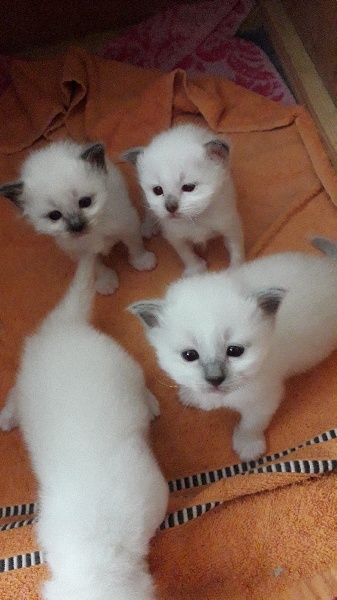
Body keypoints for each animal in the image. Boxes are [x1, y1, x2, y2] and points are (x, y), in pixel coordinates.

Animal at [0, 138, 155, 292]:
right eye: (54, 215)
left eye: (85, 202)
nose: (77, 226)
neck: (94, 231)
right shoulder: (79, 252)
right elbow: (96, 268)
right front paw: (106, 282)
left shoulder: (127, 224)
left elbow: (135, 246)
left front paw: (142, 261)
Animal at [0, 254, 168, 600]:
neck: (96, 548)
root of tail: (64, 327)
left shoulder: (156, 495)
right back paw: (7, 417)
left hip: (119, 363)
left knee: (140, 382)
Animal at [122, 122, 243, 276]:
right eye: (158, 190)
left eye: (189, 187)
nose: (170, 207)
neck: (195, 218)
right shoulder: (175, 236)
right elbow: (186, 253)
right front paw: (195, 270)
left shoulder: (230, 224)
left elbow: (235, 247)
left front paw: (236, 270)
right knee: (150, 211)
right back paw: (148, 227)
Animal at [128, 237, 337, 462]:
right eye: (189, 355)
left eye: (235, 351)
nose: (215, 379)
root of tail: (330, 267)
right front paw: (193, 395)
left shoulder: (264, 396)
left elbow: (251, 424)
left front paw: (248, 446)